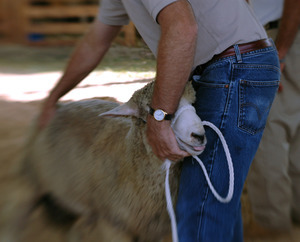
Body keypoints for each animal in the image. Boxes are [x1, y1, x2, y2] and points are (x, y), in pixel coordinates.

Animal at [6, 81, 206, 242]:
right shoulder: (113, 224)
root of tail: (59, 106)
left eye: (193, 103)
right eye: (161, 113)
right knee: (16, 216)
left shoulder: (153, 229)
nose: (199, 136)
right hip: (32, 179)